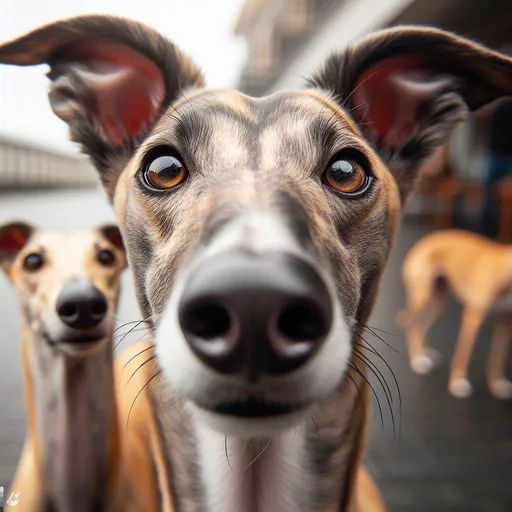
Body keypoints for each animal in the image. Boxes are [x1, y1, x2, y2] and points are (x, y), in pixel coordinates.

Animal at [398, 229, 512, 400]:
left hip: (439, 304)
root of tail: (428, 239)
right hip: (422, 298)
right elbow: (463, 355)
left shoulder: (506, 323)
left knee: (422, 327)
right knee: (413, 326)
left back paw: (426, 351)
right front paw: (458, 382)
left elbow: (497, 358)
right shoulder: (473, 319)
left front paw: (497, 384)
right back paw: (418, 359)